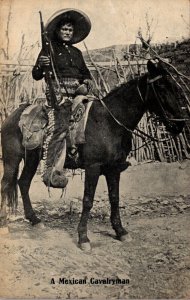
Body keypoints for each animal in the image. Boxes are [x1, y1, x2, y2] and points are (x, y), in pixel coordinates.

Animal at [0, 60, 186, 251]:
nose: (180, 123)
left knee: (23, 183)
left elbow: (114, 198)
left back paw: (35, 220)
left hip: (32, 159)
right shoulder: (93, 168)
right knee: (5, 184)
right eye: (161, 86)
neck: (110, 122)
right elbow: (88, 200)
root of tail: (13, 116)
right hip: (12, 159)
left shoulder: (114, 169)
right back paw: (5, 225)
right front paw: (83, 238)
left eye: (174, 85)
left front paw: (120, 231)